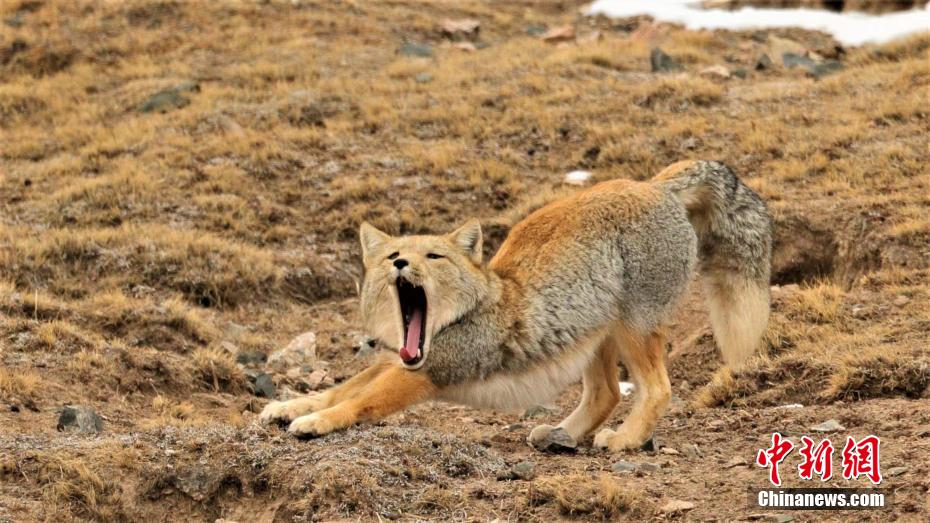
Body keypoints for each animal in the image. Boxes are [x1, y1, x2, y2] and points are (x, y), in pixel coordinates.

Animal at [260, 162, 768, 452]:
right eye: (393, 256)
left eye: (434, 257)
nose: (403, 264)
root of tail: (652, 185)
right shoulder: (397, 362)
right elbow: (341, 388)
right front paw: (291, 405)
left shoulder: (423, 373)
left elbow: (357, 403)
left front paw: (316, 422)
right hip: (592, 335)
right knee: (606, 393)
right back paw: (564, 434)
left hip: (632, 330)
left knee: (658, 389)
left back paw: (624, 440)